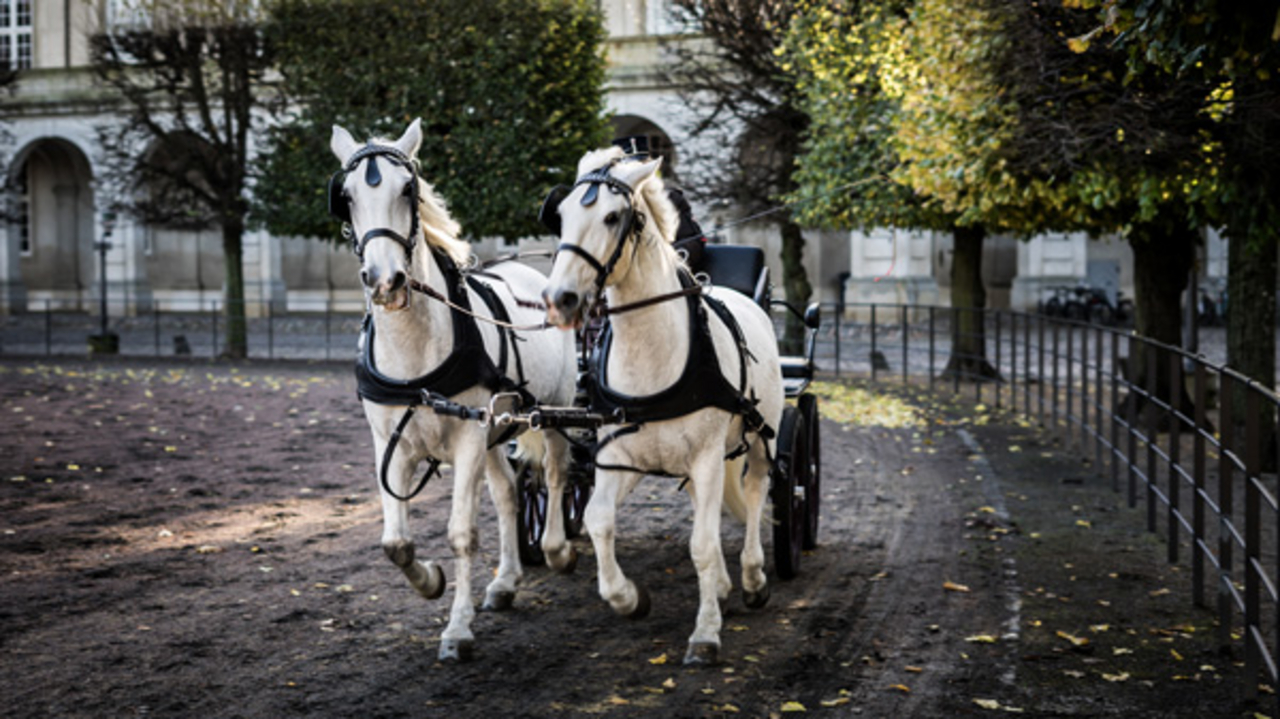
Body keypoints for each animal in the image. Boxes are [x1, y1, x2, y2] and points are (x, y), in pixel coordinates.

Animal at [330, 118, 576, 660]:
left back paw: (556, 549)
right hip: (495, 432)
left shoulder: (466, 440)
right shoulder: (392, 444)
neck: (416, 353)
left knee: (554, 474)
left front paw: (458, 628)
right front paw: (430, 581)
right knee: (508, 494)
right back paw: (506, 581)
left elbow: (462, 533)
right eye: (347, 196)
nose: (385, 281)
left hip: (554, 411)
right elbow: (395, 543)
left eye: (409, 189)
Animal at [537, 148, 778, 665]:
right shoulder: (617, 456)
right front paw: (628, 598)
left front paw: (705, 633)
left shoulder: (707, 457)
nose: (559, 298)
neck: (651, 353)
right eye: (560, 215)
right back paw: (724, 583)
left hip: (760, 434)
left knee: (755, 492)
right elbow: (598, 520)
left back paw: (752, 576)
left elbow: (702, 544)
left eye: (612, 217)